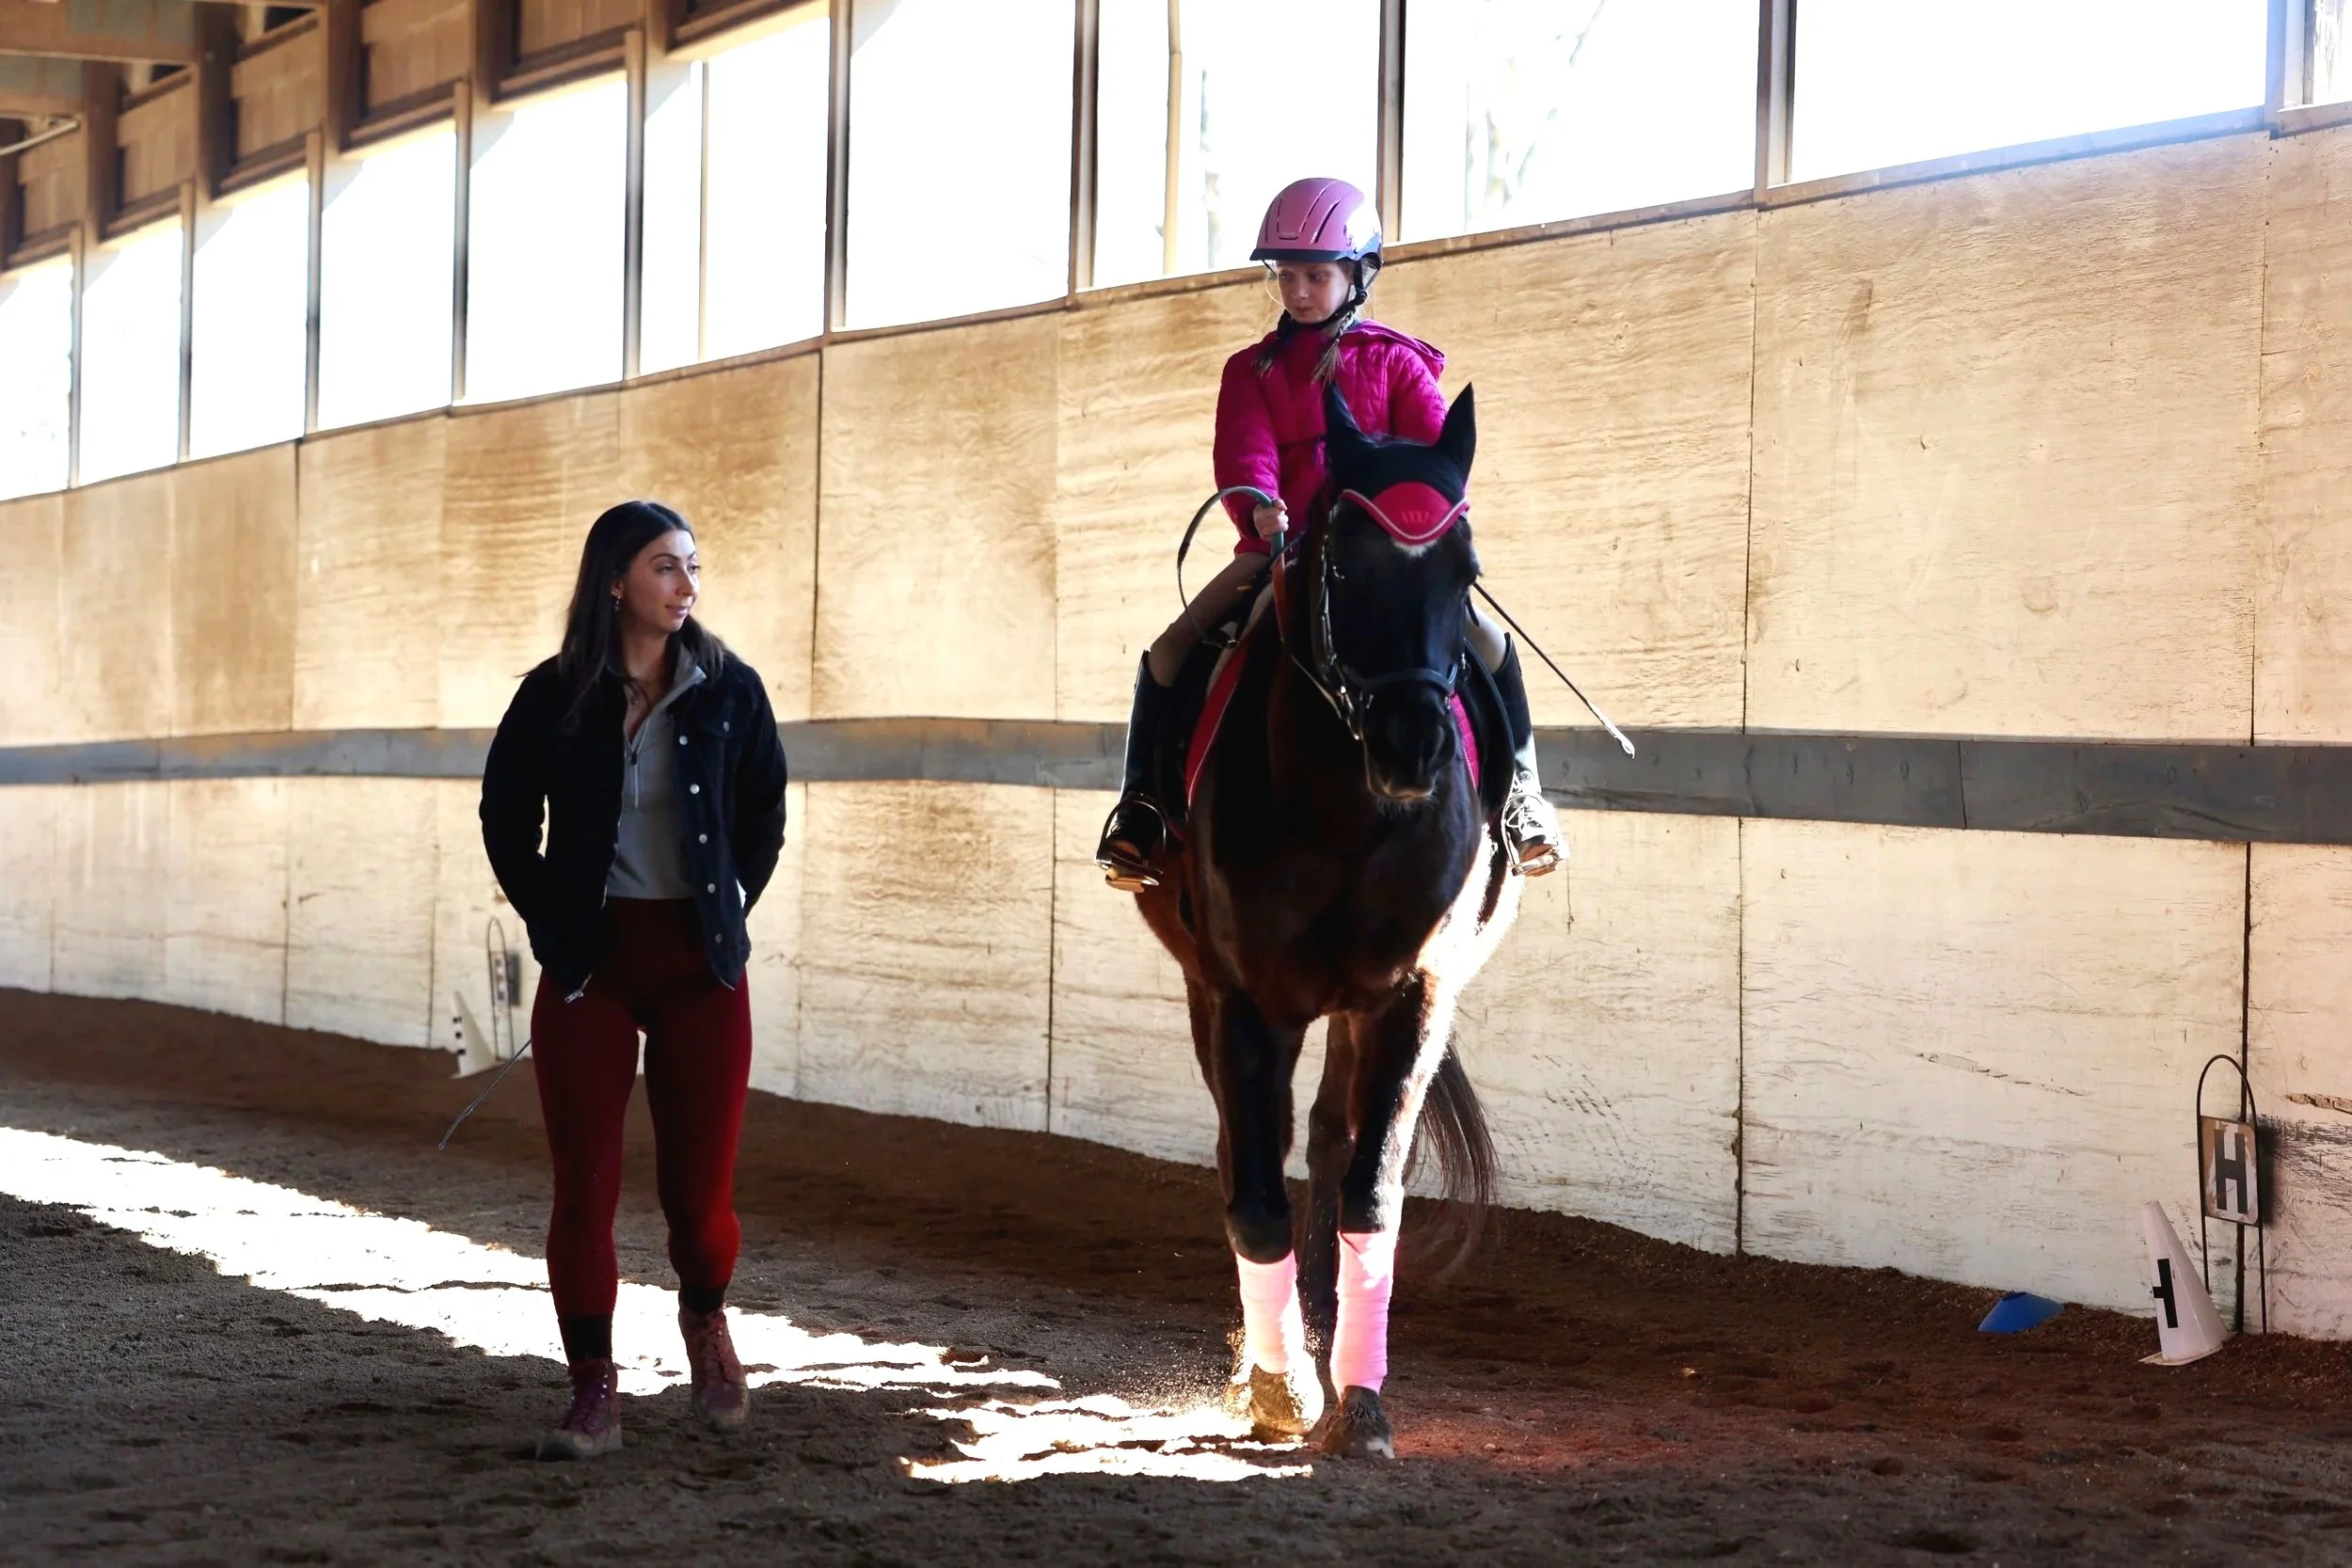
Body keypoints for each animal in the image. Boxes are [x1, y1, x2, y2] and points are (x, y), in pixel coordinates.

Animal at [1133, 381, 1524, 1459]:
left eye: (1466, 572)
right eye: (1344, 561)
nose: (1414, 745)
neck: (1351, 807)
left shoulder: (1411, 997)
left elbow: (1370, 1191)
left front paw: (1361, 1401)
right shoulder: (1247, 1000)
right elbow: (1257, 1197)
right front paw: (1279, 1386)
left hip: (1351, 1011)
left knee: (1326, 1143)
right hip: (1204, 988)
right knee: (1243, 1154)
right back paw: (1261, 1359)